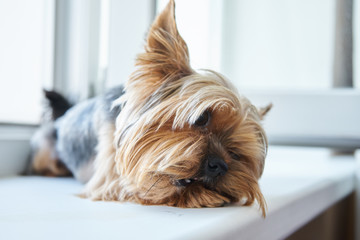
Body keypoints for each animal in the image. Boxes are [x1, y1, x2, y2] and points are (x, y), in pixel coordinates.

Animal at [29, 0, 272, 217]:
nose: (220, 165)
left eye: (235, 152)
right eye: (202, 118)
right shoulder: (109, 179)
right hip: (44, 150)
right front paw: (200, 194)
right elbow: (138, 185)